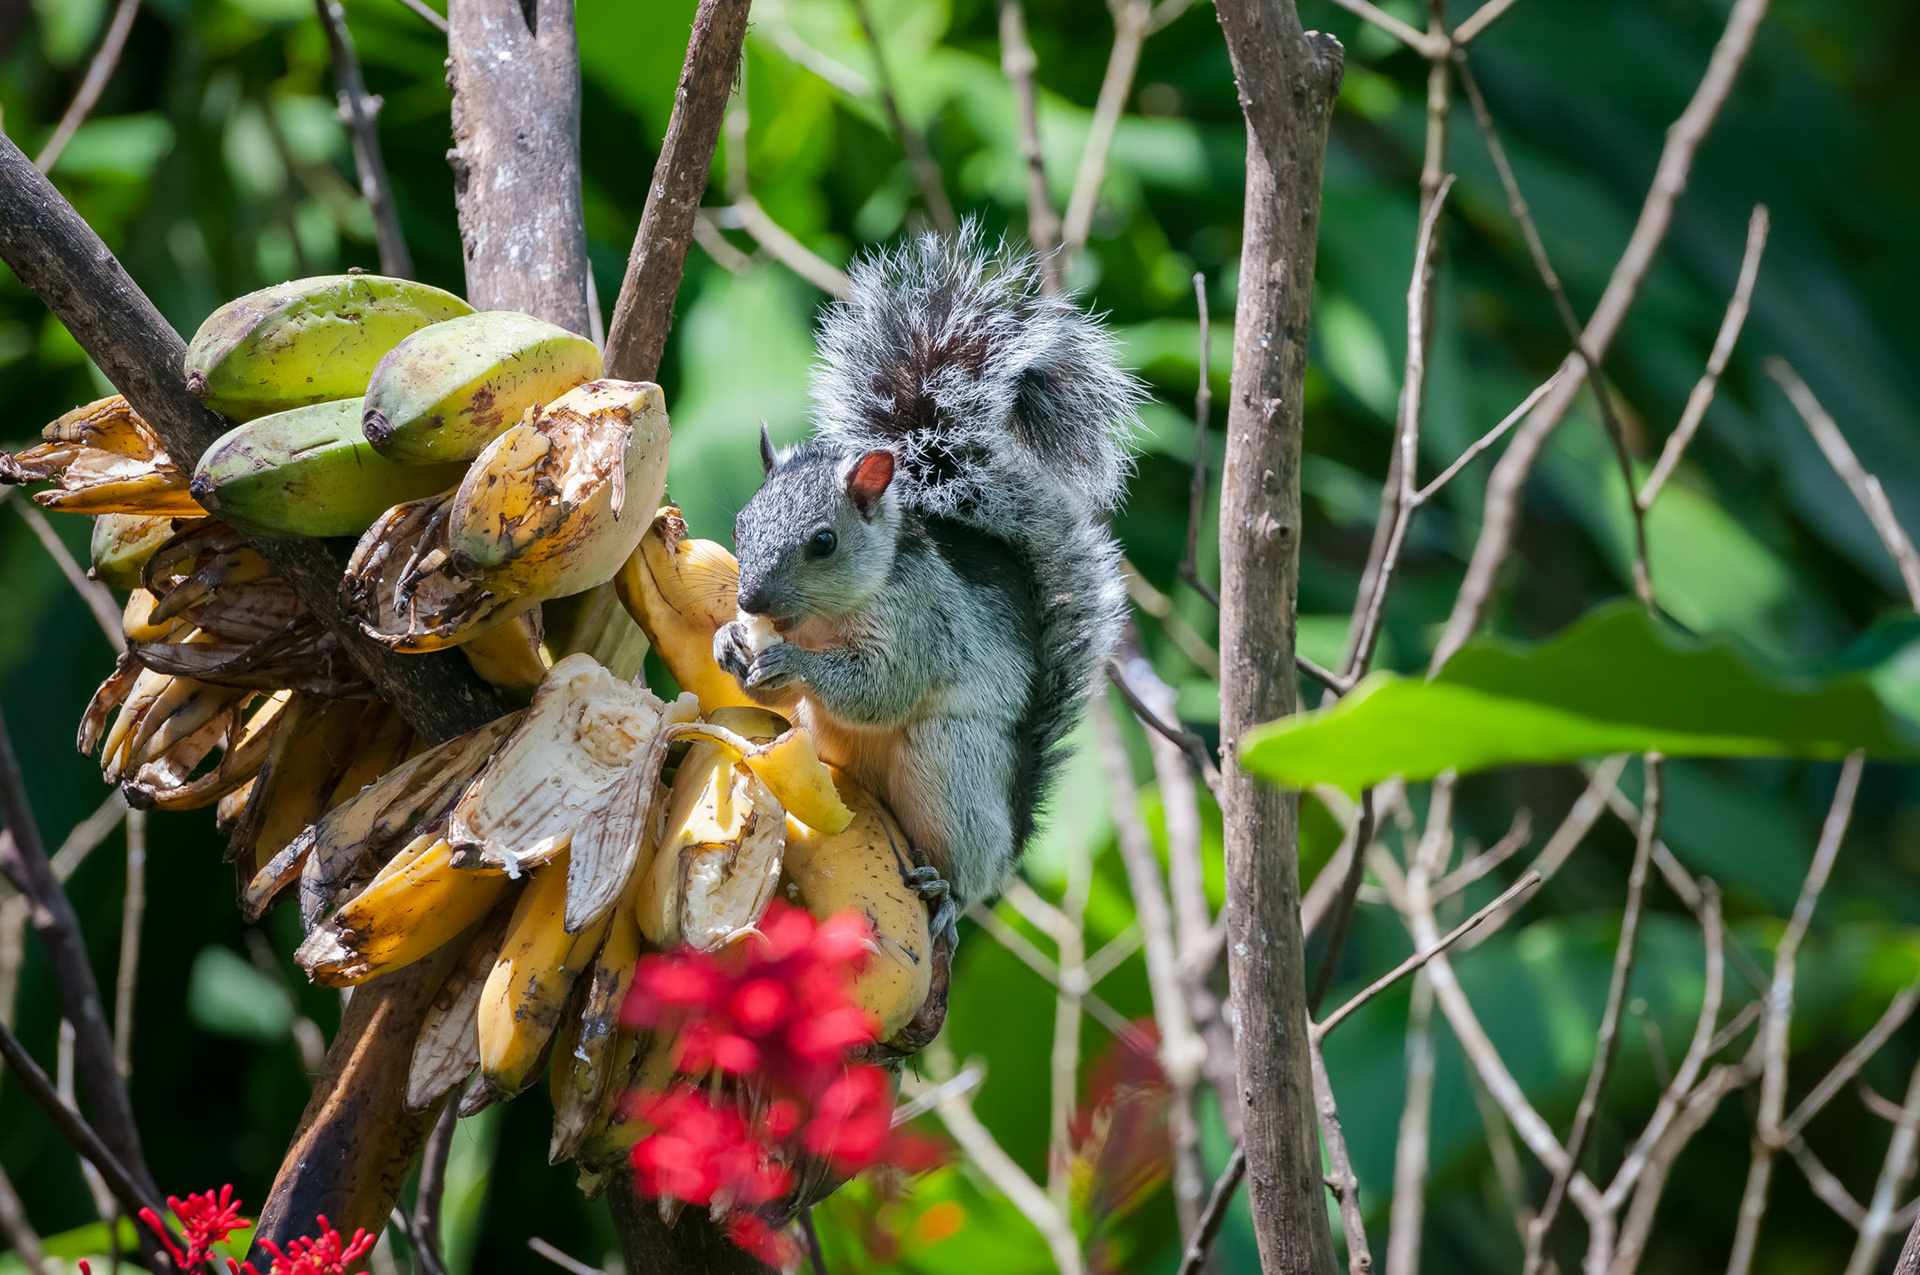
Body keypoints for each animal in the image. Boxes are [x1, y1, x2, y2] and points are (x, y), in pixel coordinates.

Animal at [714, 226, 1143, 934]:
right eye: (740, 521)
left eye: (824, 542)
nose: (750, 599)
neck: (825, 619)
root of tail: (1014, 836)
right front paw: (728, 640)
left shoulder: (921, 623)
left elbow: (879, 688)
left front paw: (791, 662)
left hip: (950, 764)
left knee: (970, 871)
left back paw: (947, 892)